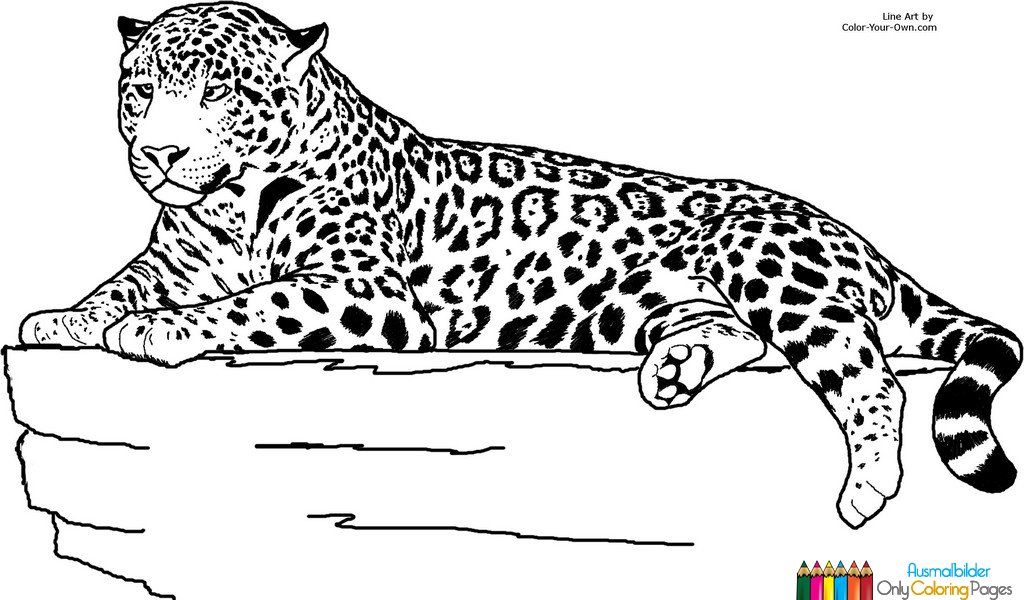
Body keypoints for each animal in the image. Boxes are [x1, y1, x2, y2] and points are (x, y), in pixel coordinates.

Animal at [19, 2, 1020, 529]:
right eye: (140, 91)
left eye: (221, 92)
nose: (156, 153)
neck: (227, 209)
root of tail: (858, 238)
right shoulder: (175, 255)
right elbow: (119, 284)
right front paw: (62, 318)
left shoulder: (370, 295)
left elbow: (254, 305)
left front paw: (156, 331)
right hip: (679, 300)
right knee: (748, 340)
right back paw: (675, 368)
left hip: (769, 264)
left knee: (866, 374)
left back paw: (867, 488)